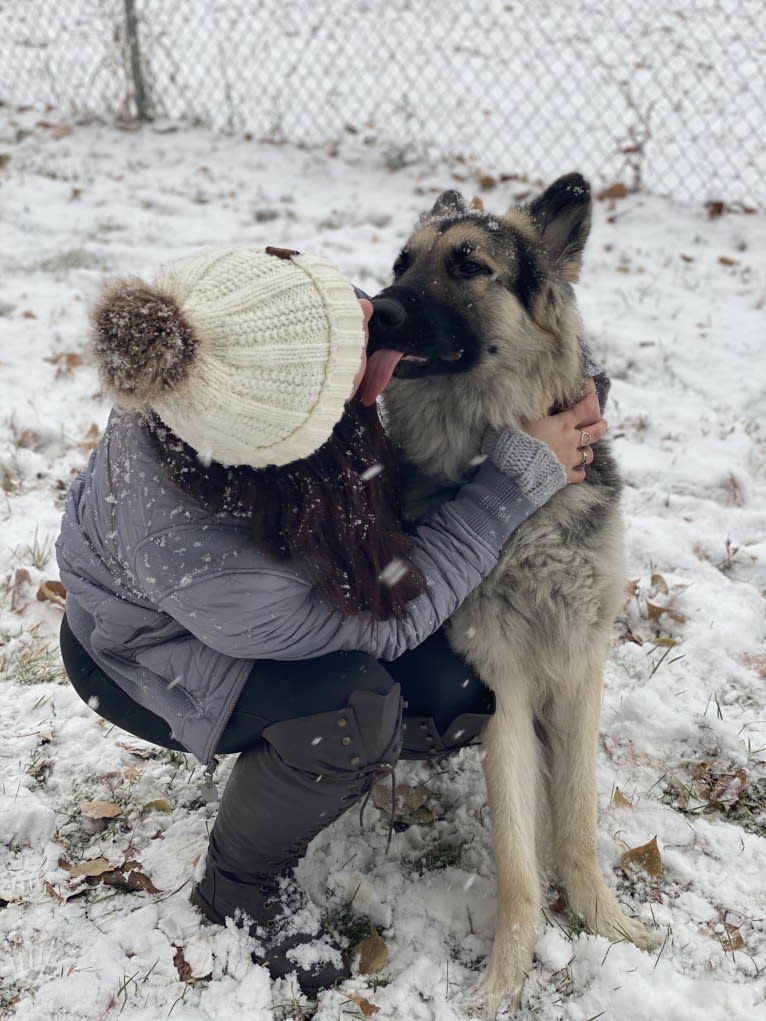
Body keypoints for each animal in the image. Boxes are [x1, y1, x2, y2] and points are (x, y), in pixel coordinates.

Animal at [367, 175, 661, 1012]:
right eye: (402, 262)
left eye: (469, 264)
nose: (377, 311)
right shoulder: (503, 683)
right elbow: (516, 862)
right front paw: (505, 975)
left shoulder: (580, 666)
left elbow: (578, 821)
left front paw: (604, 920)